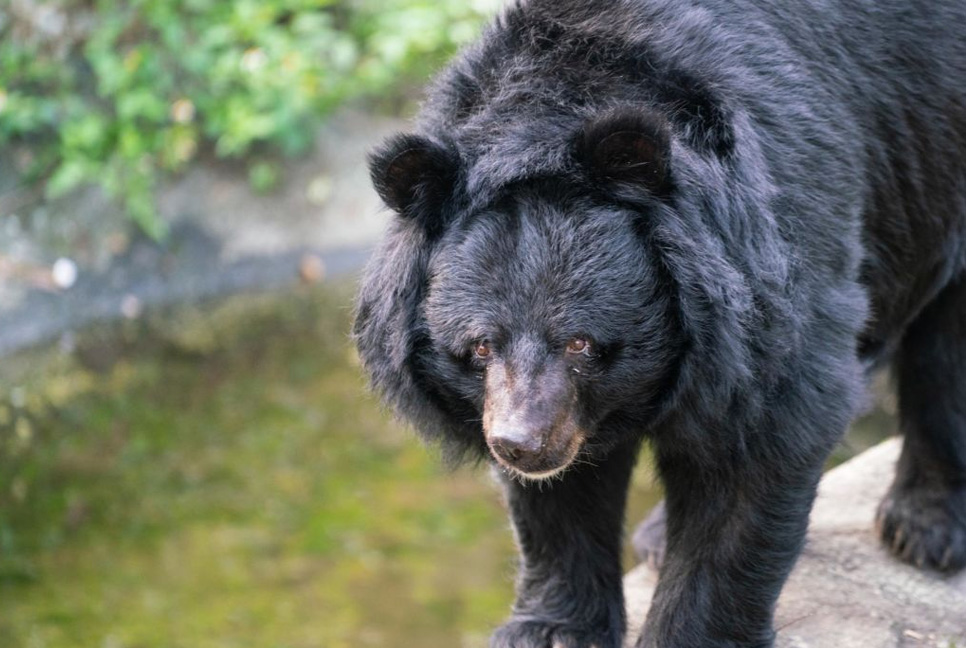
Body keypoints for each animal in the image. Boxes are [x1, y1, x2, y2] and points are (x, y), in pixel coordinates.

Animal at [354, 0, 966, 644]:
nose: (520, 445)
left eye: (581, 343)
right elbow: (561, 502)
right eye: (478, 347)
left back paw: (921, 528)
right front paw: (552, 628)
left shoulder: (773, 269)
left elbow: (760, 446)